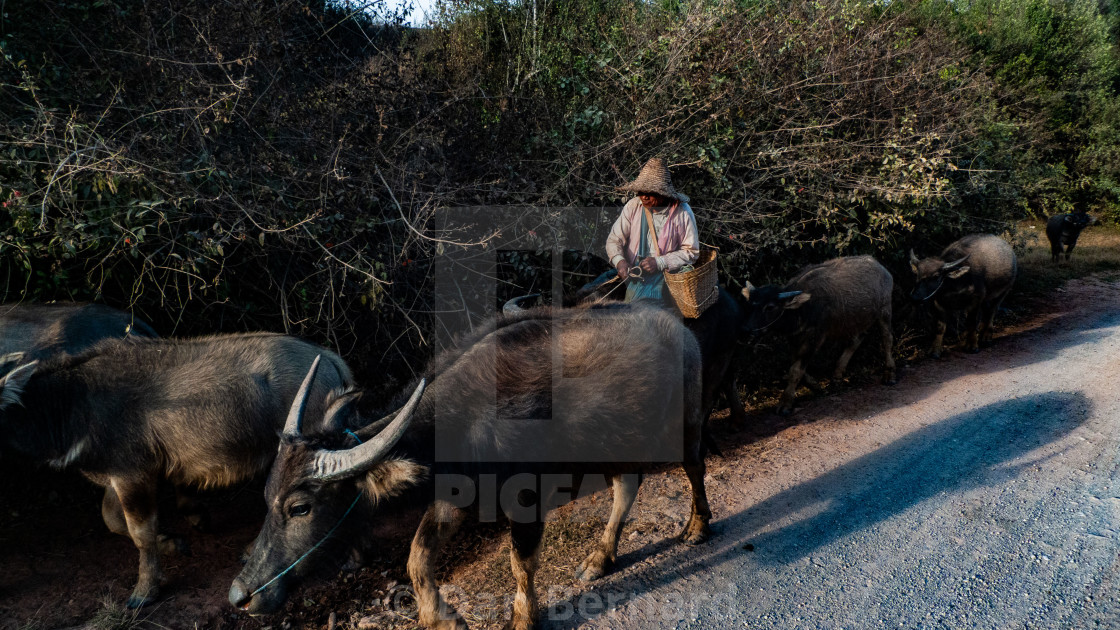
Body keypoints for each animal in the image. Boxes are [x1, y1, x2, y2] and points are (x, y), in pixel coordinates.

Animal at [0, 331, 351, 605]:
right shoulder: (117, 477)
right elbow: (112, 520)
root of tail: (332, 359)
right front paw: (177, 539)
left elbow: (140, 532)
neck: (74, 403)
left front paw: (144, 591)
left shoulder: (133, 475)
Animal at [230, 302, 712, 623]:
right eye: (268, 496)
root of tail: (679, 328)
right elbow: (417, 557)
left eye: (300, 507)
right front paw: (441, 619)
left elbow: (521, 563)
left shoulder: (527, 498)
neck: (463, 420)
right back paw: (601, 558)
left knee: (694, 469)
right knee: (626, 486)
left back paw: (697, 528)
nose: (240, 595)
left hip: (685, 424)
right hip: (614, 442)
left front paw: (523, 619)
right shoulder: (454, 495)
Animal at [739, 252, 896, 414]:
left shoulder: (815, 338)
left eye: (770, 307)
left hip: (884, 310)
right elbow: (794, 366)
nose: (746, 329)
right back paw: (837, 374)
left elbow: (795, 370)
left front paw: (785, 402)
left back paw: (889, 374)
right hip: (858, 319)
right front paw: (815, 385)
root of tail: (880, 267)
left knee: (887, 339)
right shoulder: (794, 338)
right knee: (857, 339)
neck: (801, 309)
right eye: (750, 304)